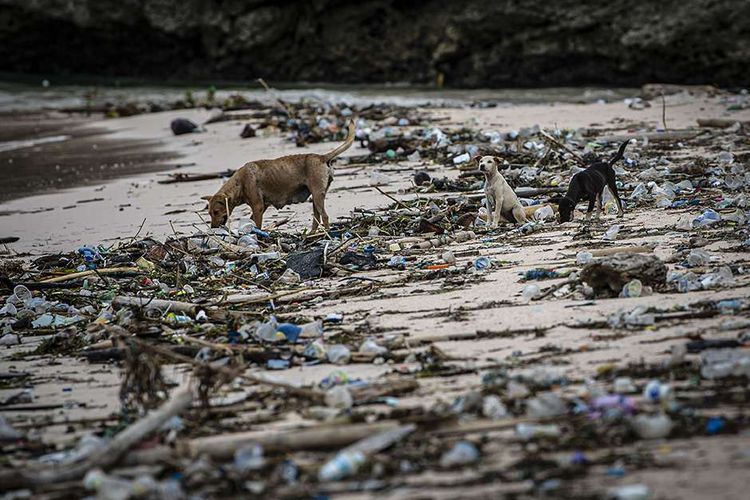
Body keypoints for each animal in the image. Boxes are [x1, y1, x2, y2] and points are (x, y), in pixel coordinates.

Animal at [204, 122, 356, 231]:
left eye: (216, 212)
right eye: (210, 213)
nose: (212, 228)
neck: (239, 183)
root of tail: (322, 157)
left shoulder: (258, 207)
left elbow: (257, 225)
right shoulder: (261, 207)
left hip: (317, 195)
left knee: (324, 216)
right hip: (316, 197)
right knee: (316, 218)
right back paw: (312, 234)